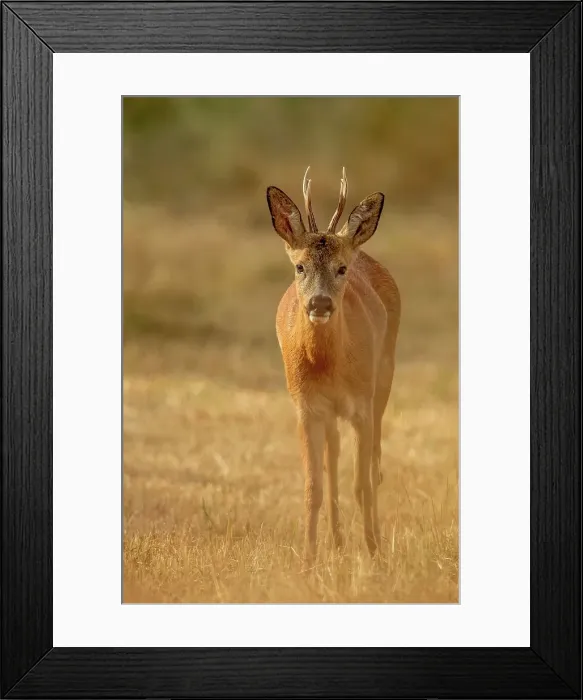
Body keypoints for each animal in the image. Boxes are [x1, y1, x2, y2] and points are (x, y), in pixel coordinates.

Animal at [266, 167, 401, 568]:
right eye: (299, 266)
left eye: (341, 269)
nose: (320, 303)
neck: (330, 366)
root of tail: (363, 249)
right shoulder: (306, 407)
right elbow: (314, 487)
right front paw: (308, 562)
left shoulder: (361, 405)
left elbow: (363, 483)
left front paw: (374, 555)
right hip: (329, 412)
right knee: (333, 457)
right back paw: (337, 542)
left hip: (383, 378)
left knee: (373, 465)